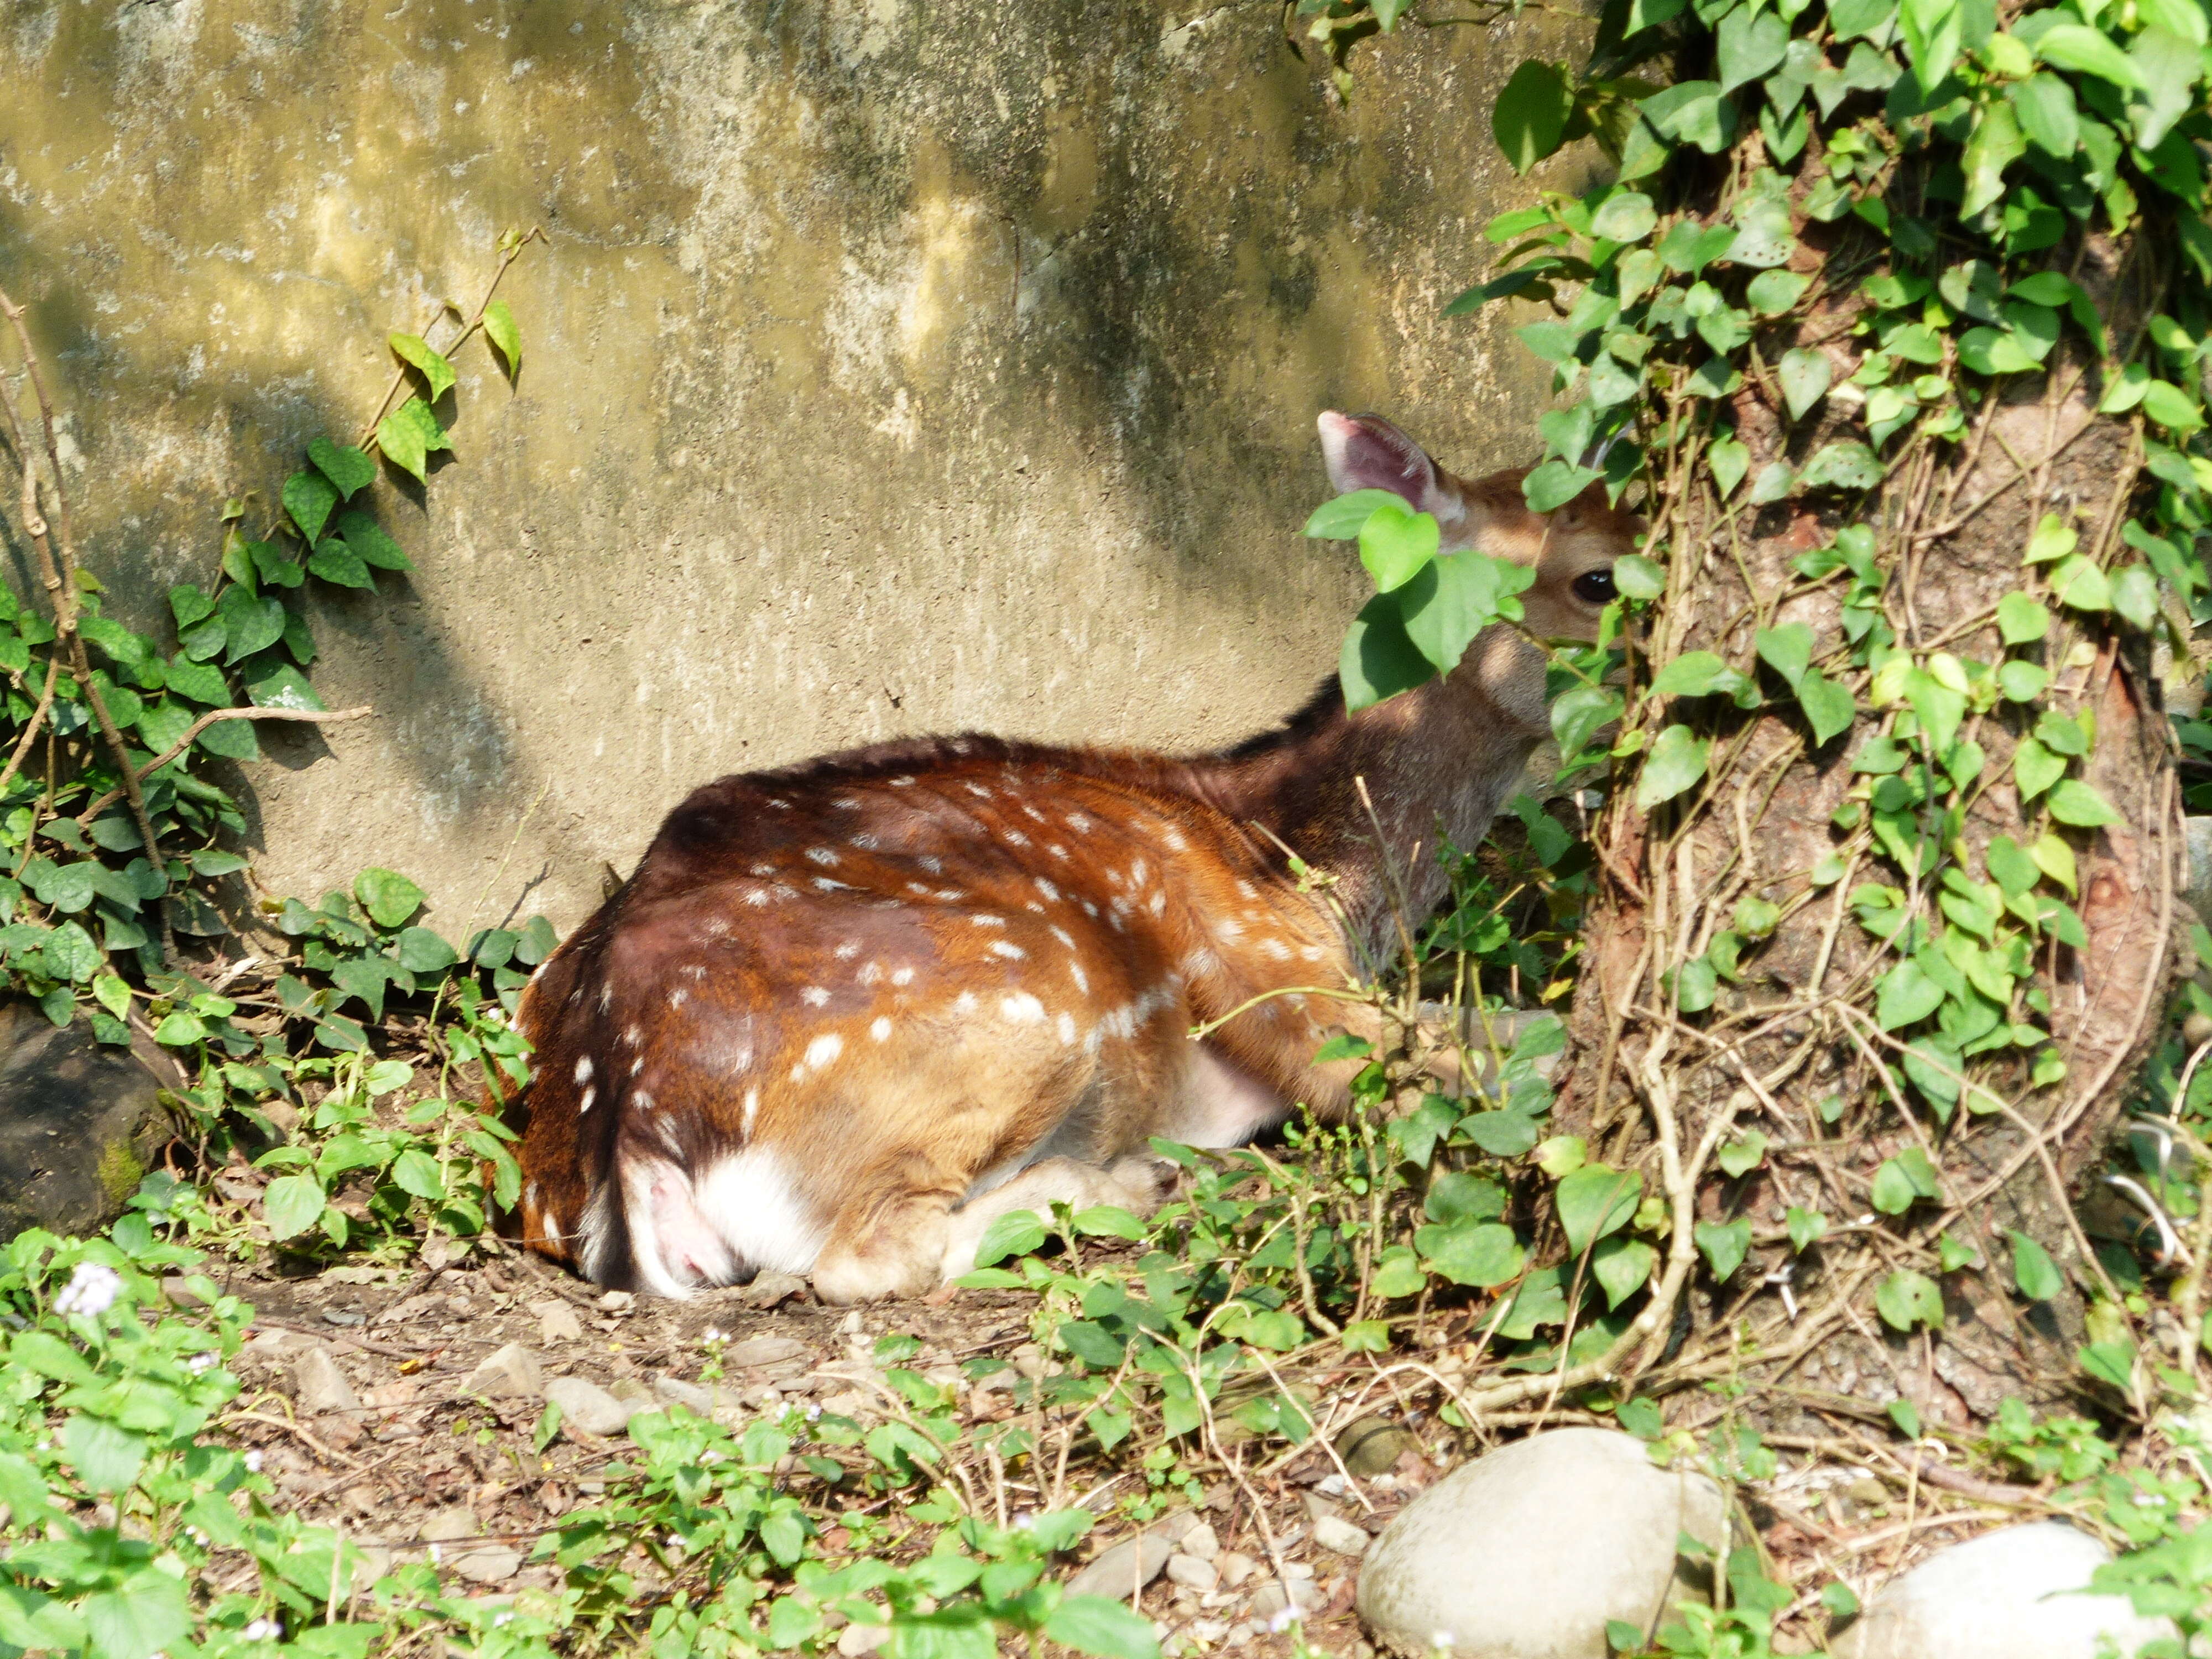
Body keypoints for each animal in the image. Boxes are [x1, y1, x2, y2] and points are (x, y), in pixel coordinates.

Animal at [509, 409, 1637, 1310]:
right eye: (1598, 579)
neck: (1301, 862)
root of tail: (635, 1117)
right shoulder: (1281, 988)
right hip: (1011, 1013)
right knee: (869, 1256)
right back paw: (1128, 1180)